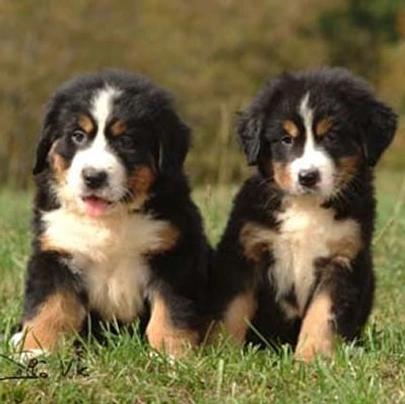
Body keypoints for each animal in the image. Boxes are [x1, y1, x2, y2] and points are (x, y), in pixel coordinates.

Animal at [12, 69, 208, 356]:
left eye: (126, 140)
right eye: (78, 136)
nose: (94, 176)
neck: (108, 221)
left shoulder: (174, 256)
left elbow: (172, 312)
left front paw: (172, 355)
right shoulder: (56, 252)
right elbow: (49, 308)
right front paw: (36, 351)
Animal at [210, 68, 396, 362]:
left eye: (332, 136)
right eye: (286, 140)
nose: (308, 176)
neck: (306, 207)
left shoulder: (342, 258)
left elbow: (322, 314)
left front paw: (312, 358)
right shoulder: (245, 252)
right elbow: (232, 310)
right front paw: (220, 353)